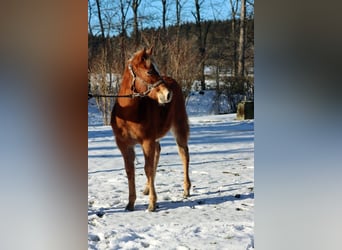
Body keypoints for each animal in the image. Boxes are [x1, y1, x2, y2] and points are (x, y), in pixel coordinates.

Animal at [111, 47, 191, 212]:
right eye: (149, 71)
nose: (167, 94)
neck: (129, 114)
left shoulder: (147, 141)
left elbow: (147, 168)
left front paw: (152, 203)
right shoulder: (124, 145)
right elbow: (130, 171)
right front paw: (130, 203)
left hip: (179, 127)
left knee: (184, 154)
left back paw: (186, 189)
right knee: (158, 153)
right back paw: (147, 188)